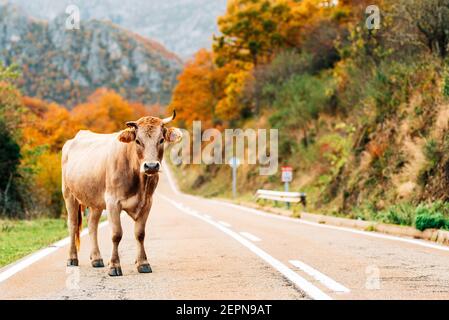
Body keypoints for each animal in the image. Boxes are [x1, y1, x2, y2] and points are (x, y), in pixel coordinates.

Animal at [61, 111, 182, 276]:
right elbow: (116, 234)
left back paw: (96, 258)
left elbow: (140, 234)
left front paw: (143, 263)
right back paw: (72, 258)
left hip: (96, 202)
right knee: (73, 225)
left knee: (92, 225)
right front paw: (114, 266)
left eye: (161, 140)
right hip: (69, 195)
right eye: (137, 141)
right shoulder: (113, 202)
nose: (151, 166)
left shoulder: (147, 202)